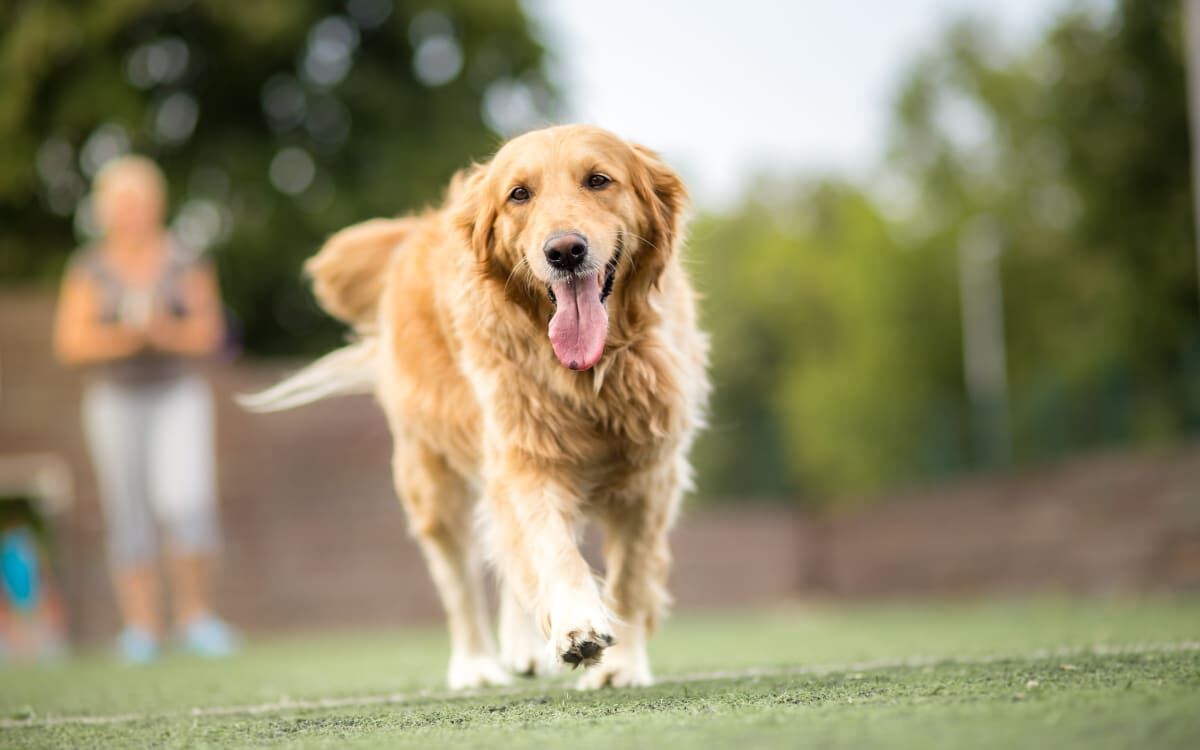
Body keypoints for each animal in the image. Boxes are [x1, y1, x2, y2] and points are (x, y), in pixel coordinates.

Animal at [247, 124, 705, 691]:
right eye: (519, 194)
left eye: (599, 180)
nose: (565, 251)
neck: (589, 374)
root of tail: (416, 229)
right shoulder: (526, 456)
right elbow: (550, 548)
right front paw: (576, 623)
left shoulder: (651, 472)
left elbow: (632, 576)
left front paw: (620, 668)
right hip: (431, 480)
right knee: (460, 581)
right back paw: (478, 666)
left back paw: (523, 650)